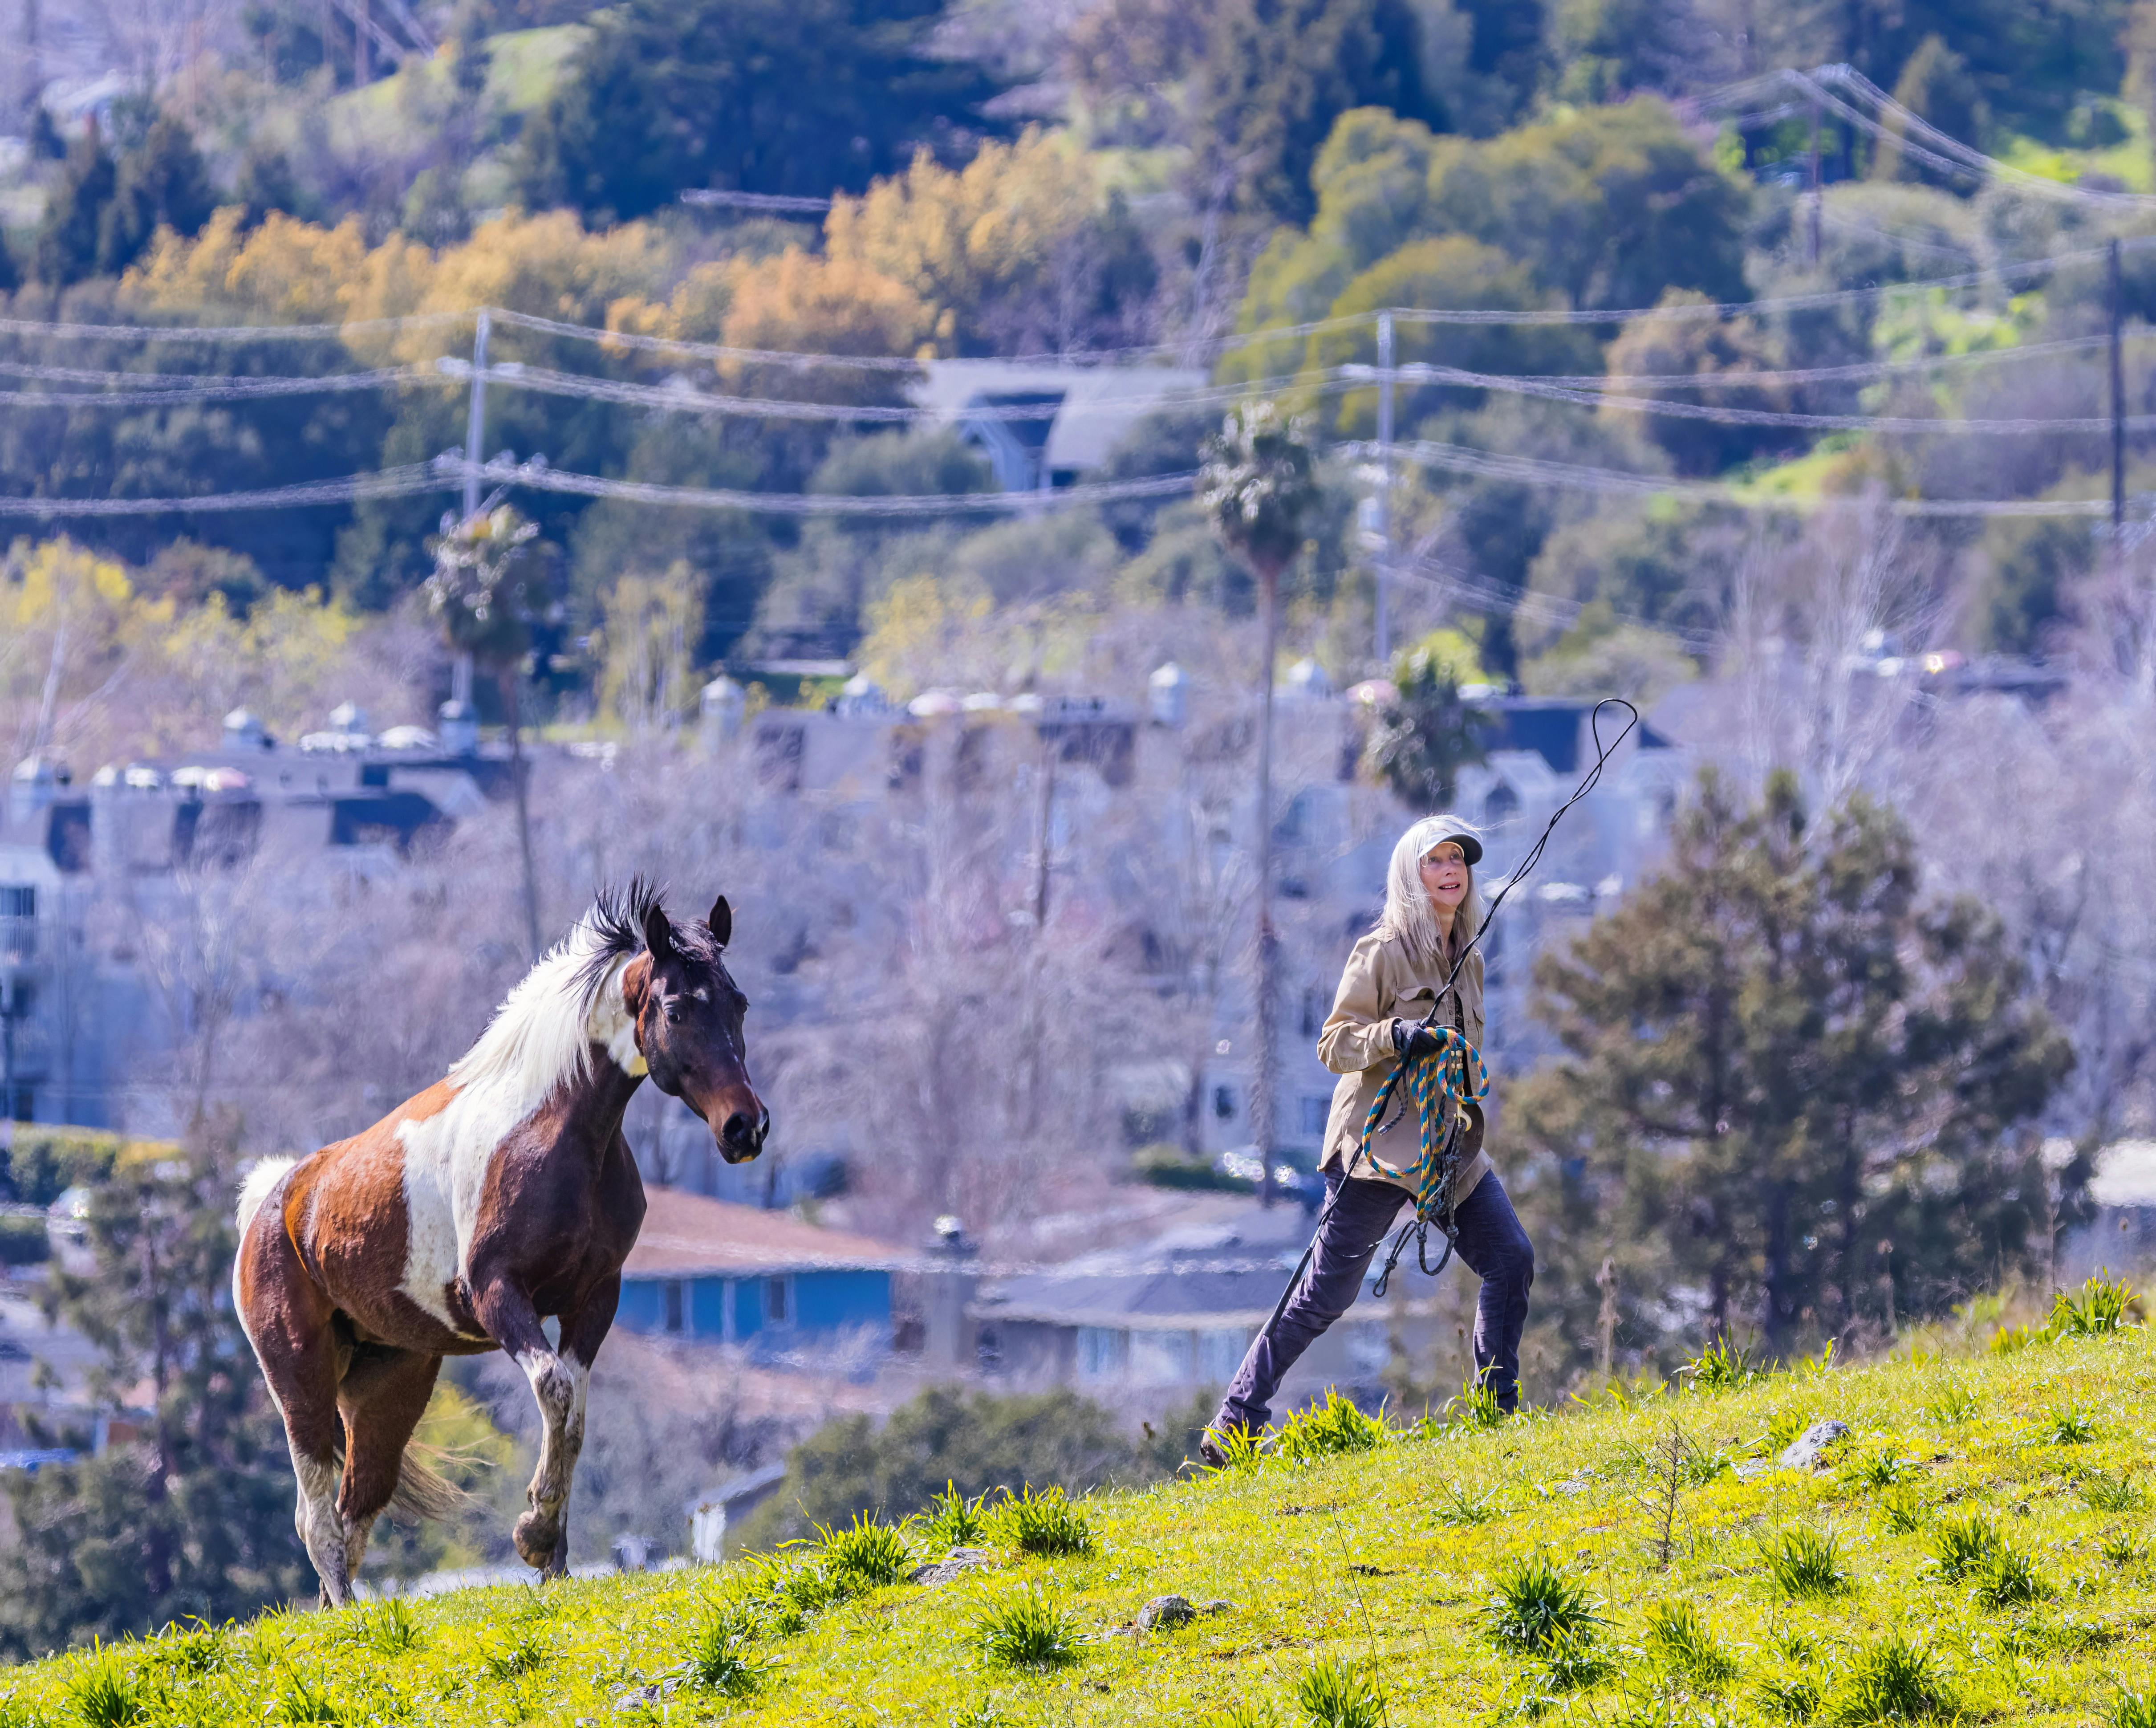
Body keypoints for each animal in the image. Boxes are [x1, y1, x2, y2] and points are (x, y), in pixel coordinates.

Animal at [232, 880, 766, 1604]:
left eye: (738, 1002)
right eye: (678, 1008)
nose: (746, 1127)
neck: (553, 1133)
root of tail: (273, 1201)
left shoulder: (594, 1298)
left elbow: (574, 1416)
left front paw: (555, 1562)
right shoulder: (498, 1295)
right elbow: (554, 1391)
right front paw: (534, 1534)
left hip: (390, 1388)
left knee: (355, 1508)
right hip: (300, 1378)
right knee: (316, 1517)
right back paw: (346, 1613)